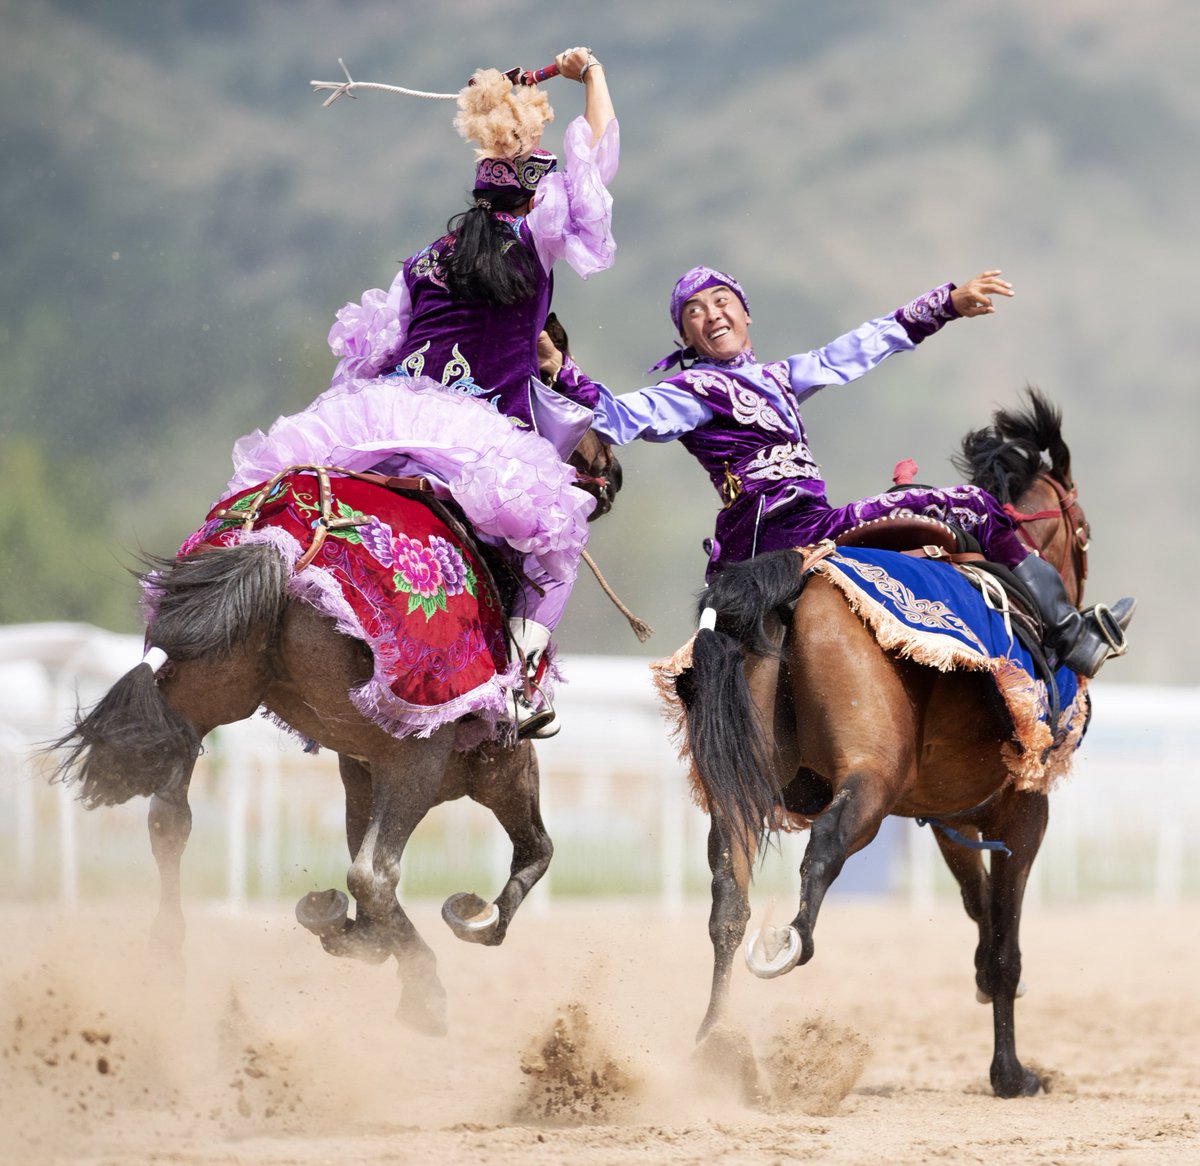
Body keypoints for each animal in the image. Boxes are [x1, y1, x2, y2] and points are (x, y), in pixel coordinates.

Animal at [49, 427, 619, 1031]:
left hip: (201, 699)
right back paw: (424, 990)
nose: (611, 469)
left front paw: (346, 928)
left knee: (169, 820)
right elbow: (536, 850)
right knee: (375, 872)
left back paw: (168, 958)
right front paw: (477, 920)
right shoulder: (490, 761)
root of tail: (273, 545)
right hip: (419, 758)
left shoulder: (358, 767)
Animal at [672, 386, 1094, 1098]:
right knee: (825, 848)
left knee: (728, 901)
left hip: (737, 794)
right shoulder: (1021, 813)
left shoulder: (951, 815)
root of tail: (797, 578)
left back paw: (713, 1047)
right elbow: (1004, 945)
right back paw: (786, 946)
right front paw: (1011, 1073)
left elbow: (980, 911)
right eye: (1082, 528)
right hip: (870, 784)